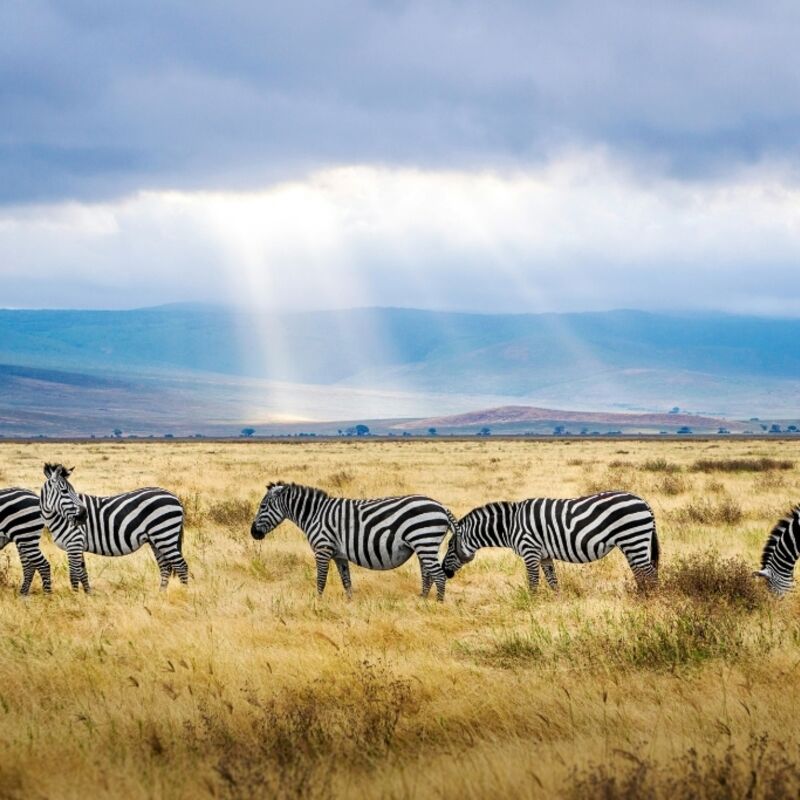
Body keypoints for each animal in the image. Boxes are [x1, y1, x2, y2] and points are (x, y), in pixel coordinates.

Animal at [40, 462, 188, 592]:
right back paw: (161, 594)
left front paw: (75, 597)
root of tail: (174, 497)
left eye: (72, 491)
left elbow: (74, 575)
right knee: (165, 567)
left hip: (164, 535)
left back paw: (184, 593)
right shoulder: (78, 545)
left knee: (181, 566)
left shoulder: (74, 543)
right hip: (156, 540)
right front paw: (88, 595)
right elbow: (83, 574)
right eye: (65, 491)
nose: (83, 516)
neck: (59, 517)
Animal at [253, 482, 460, 600]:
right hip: (423, 545)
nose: (253, 533)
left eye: (262, 506)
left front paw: (317, 603)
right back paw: (422, 600)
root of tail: (441, 507)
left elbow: (321, 579)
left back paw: (437, 605)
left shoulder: (322, 549)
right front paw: (349, 603)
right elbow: (346, 580)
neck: (314, 515)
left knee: (439, 575)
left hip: (424, 541)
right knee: (428, 574)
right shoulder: (339, 554)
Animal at [440, 490, 660, 592]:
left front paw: (531, 605)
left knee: (649, 573)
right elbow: (553, 581)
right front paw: (556, 604)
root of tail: (643, 501)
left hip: (633, 538)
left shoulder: (530, 551)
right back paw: (640, 597)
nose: (444, 571)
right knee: (641, 572)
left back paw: (651, 600)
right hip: (633, 543)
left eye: (450, 546)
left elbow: (533, 582)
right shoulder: (544, 555)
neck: (510, 525)